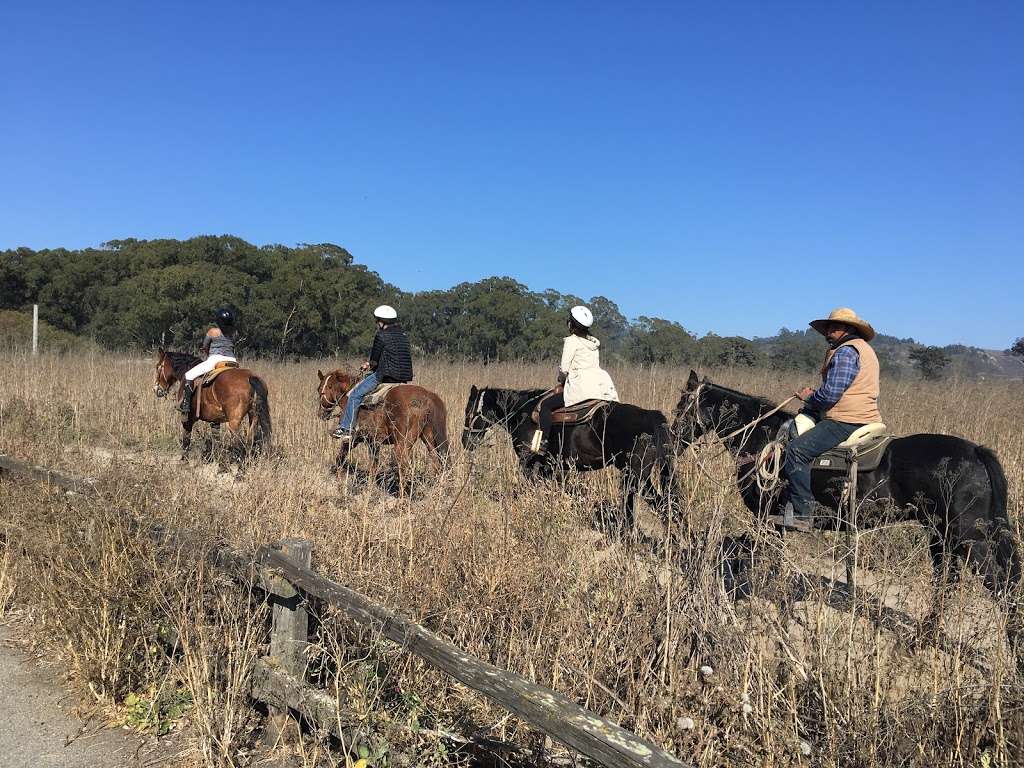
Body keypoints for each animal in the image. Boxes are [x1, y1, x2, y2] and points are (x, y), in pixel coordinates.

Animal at [315, 370, 448, 489]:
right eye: (319, 388)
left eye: (329, 386)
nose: (322, 413)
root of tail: (427, 397)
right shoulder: (373, 442)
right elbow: (373, 466)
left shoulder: (352, 439)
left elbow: (340, 457)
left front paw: (339, 478)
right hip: (428, 439)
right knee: (436, 463)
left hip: (402, 444)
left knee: (403, 467)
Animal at [462, 387, 671, 528]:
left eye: (469, 411)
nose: (465, 441)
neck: (523, 415)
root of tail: (652, 417)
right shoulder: (550, 468)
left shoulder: (529, 464)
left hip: (635, 476)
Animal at [675, 370, 1019, 598]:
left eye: (681, 406)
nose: (674, 440)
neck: (763, 439)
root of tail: (976, 451)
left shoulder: (765, 518)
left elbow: (761, 558)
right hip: (940, 533)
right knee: (947, 581)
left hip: (969, 537)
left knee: (1000, 586)